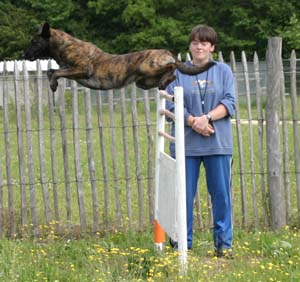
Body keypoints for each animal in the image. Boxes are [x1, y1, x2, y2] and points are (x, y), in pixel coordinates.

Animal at [24, 22, 214, 92]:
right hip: (143, 82)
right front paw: (53, 84)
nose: (24, 54)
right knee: (170, 75)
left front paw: (53, 84)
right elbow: (51, 71)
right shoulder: (69, 69)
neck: (64, 45)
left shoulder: (82, 69)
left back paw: (167, 75)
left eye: (34, 42)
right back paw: (164, 82)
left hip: (147, 66)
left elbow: (55, 72)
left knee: (172, 67)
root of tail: (168, 53)